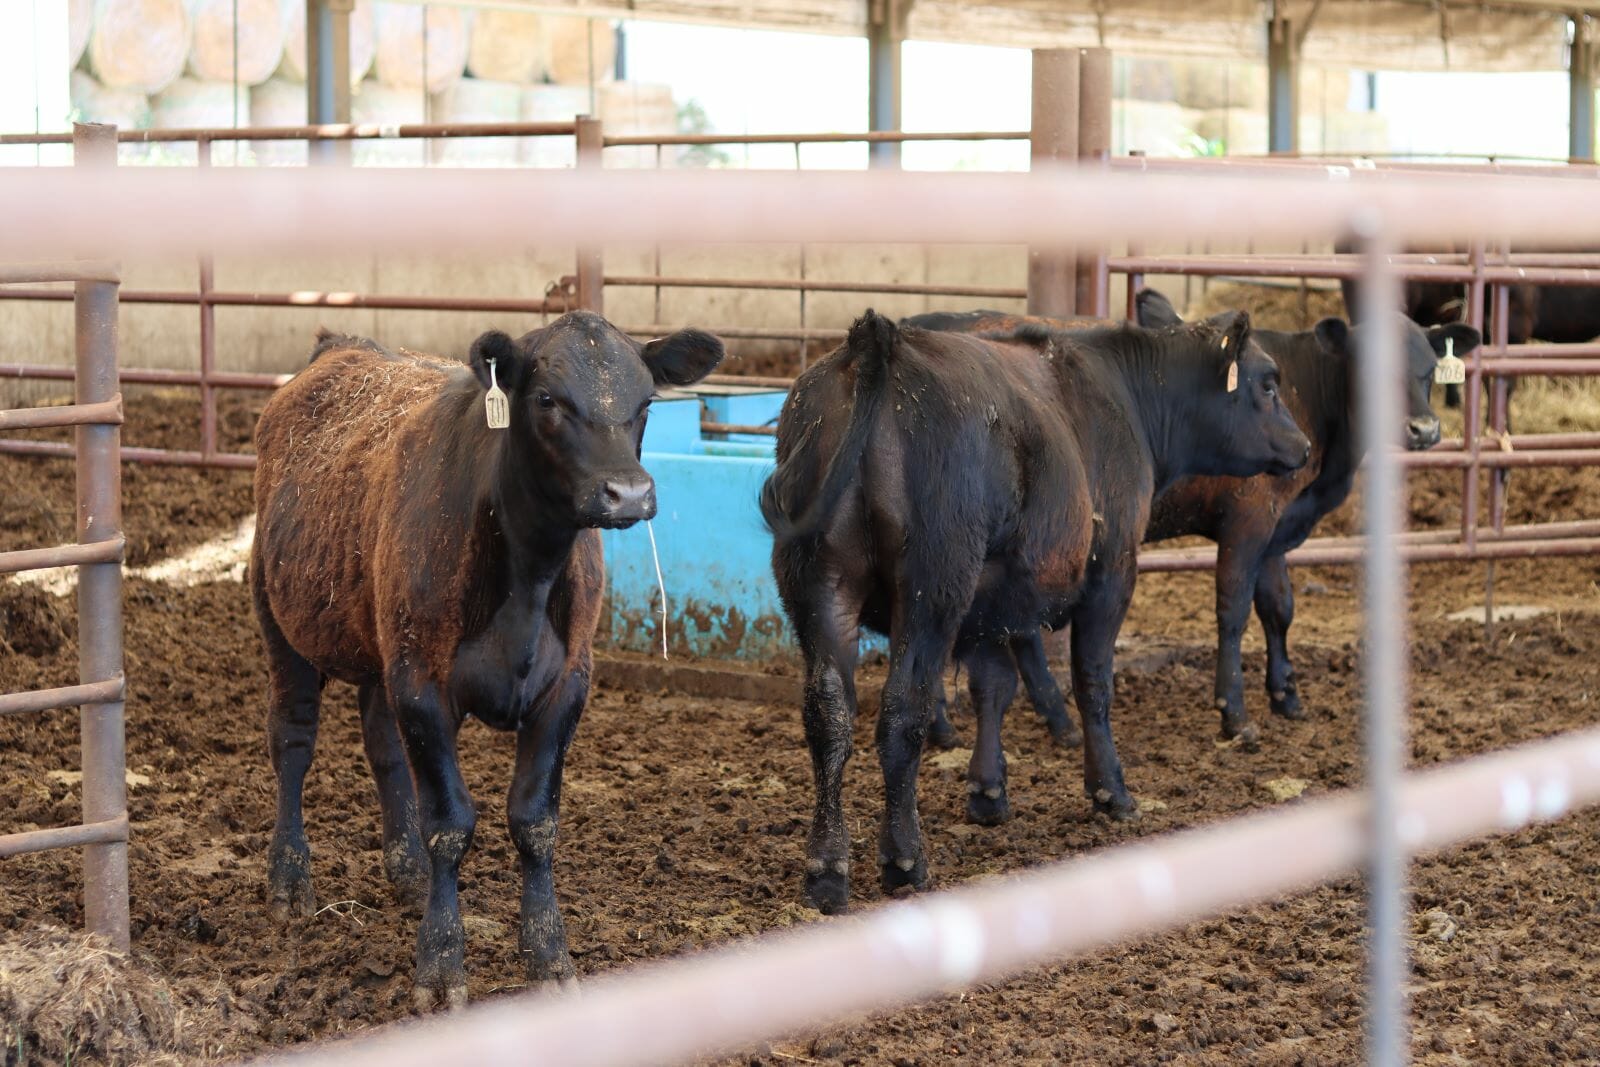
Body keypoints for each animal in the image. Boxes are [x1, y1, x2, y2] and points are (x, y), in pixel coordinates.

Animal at [251, 312, 723, 1010]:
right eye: (548, 399)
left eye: (646, 403)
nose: (629, 494)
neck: (527, 575)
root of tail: (341, 348)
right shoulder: (423, 685)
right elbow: (450, 823)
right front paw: (441, 963)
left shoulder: (566, 687)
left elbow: (534, 821)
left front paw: (549, 955)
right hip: (282, 620)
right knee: (292, 742)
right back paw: (289, 878)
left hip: (382, 645)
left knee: (382, 745)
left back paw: (407, 871)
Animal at [761, 309, 1310, 913]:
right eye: (1268, 383)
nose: (1304, 447)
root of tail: (877, 341)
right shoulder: (1111, 571)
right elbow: (1092, 683)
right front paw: (1111, 790)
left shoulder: (990, 601)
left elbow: (994, 686)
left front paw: (988, 790)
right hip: (932, 587)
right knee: (904, 710)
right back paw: (904, 858)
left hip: (820, 585)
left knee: (828, 712)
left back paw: (827, 869)